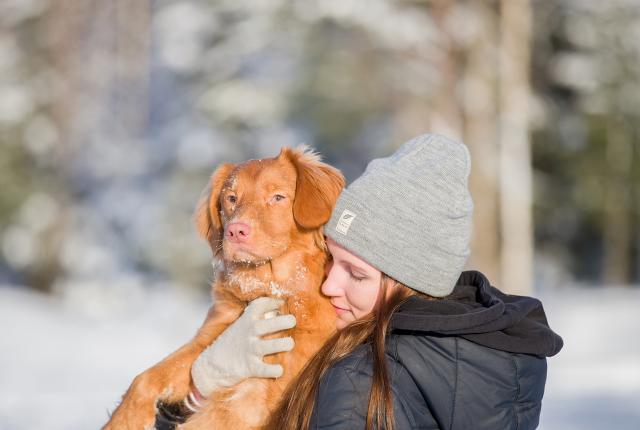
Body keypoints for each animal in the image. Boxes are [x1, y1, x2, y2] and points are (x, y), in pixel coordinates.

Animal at [104, 146, 344, 428]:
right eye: (231, 198)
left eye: (277, 197)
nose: (236, 231)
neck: (271, 289)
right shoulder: (213, 337)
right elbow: (146, 379)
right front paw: (122, 421)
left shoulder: (266, 391)